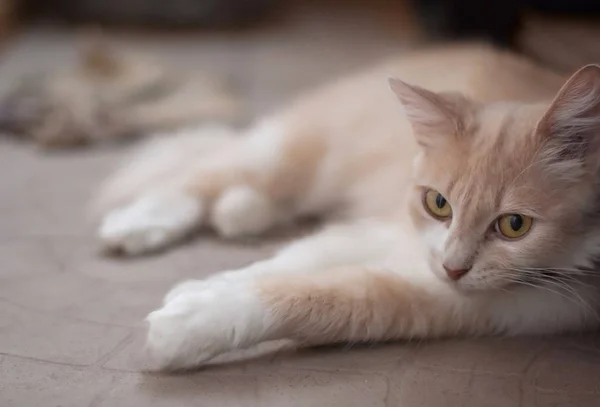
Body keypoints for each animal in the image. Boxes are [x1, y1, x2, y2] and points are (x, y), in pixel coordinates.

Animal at [94, 43, 600, 370]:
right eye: (438, 204)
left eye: (515, 225)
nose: (453, 268)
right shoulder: (391, 232)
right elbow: (293, 259)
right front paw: (206, 287)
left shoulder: (478, 303)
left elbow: (324, 295)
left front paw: (191, 321)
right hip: (301, 149)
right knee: (206, 172)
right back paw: (139, 222)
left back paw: (241, 211)